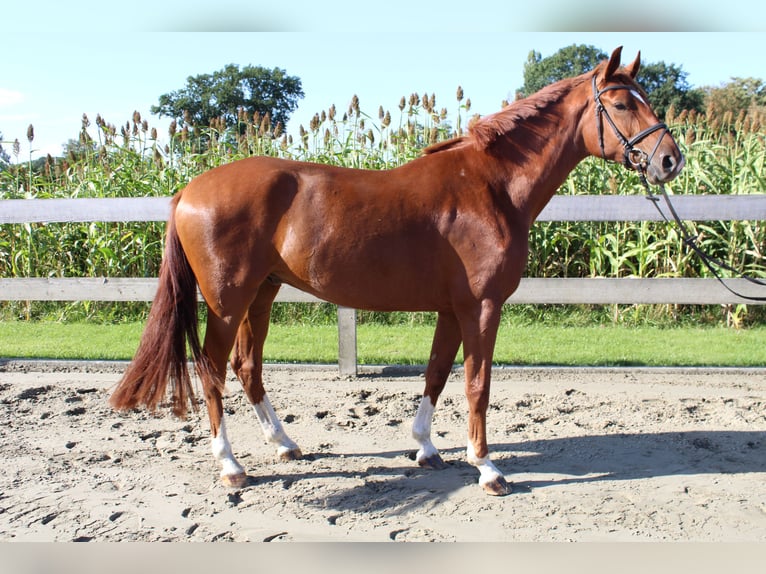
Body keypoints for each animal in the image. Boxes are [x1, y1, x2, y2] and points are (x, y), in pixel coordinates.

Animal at [110, 47, 684, 496]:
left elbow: (436, 373)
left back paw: (285, 444)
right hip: (228, 302)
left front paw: (427, 449)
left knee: (247, 367)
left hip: (262, 294)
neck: (492, 186)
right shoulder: (482, 307)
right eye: (620, 103)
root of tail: (188, 190)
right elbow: (478, 384)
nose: (670, 160)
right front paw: (487, 469)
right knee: (211, 369)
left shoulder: (452, 309)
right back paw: (231, 466)